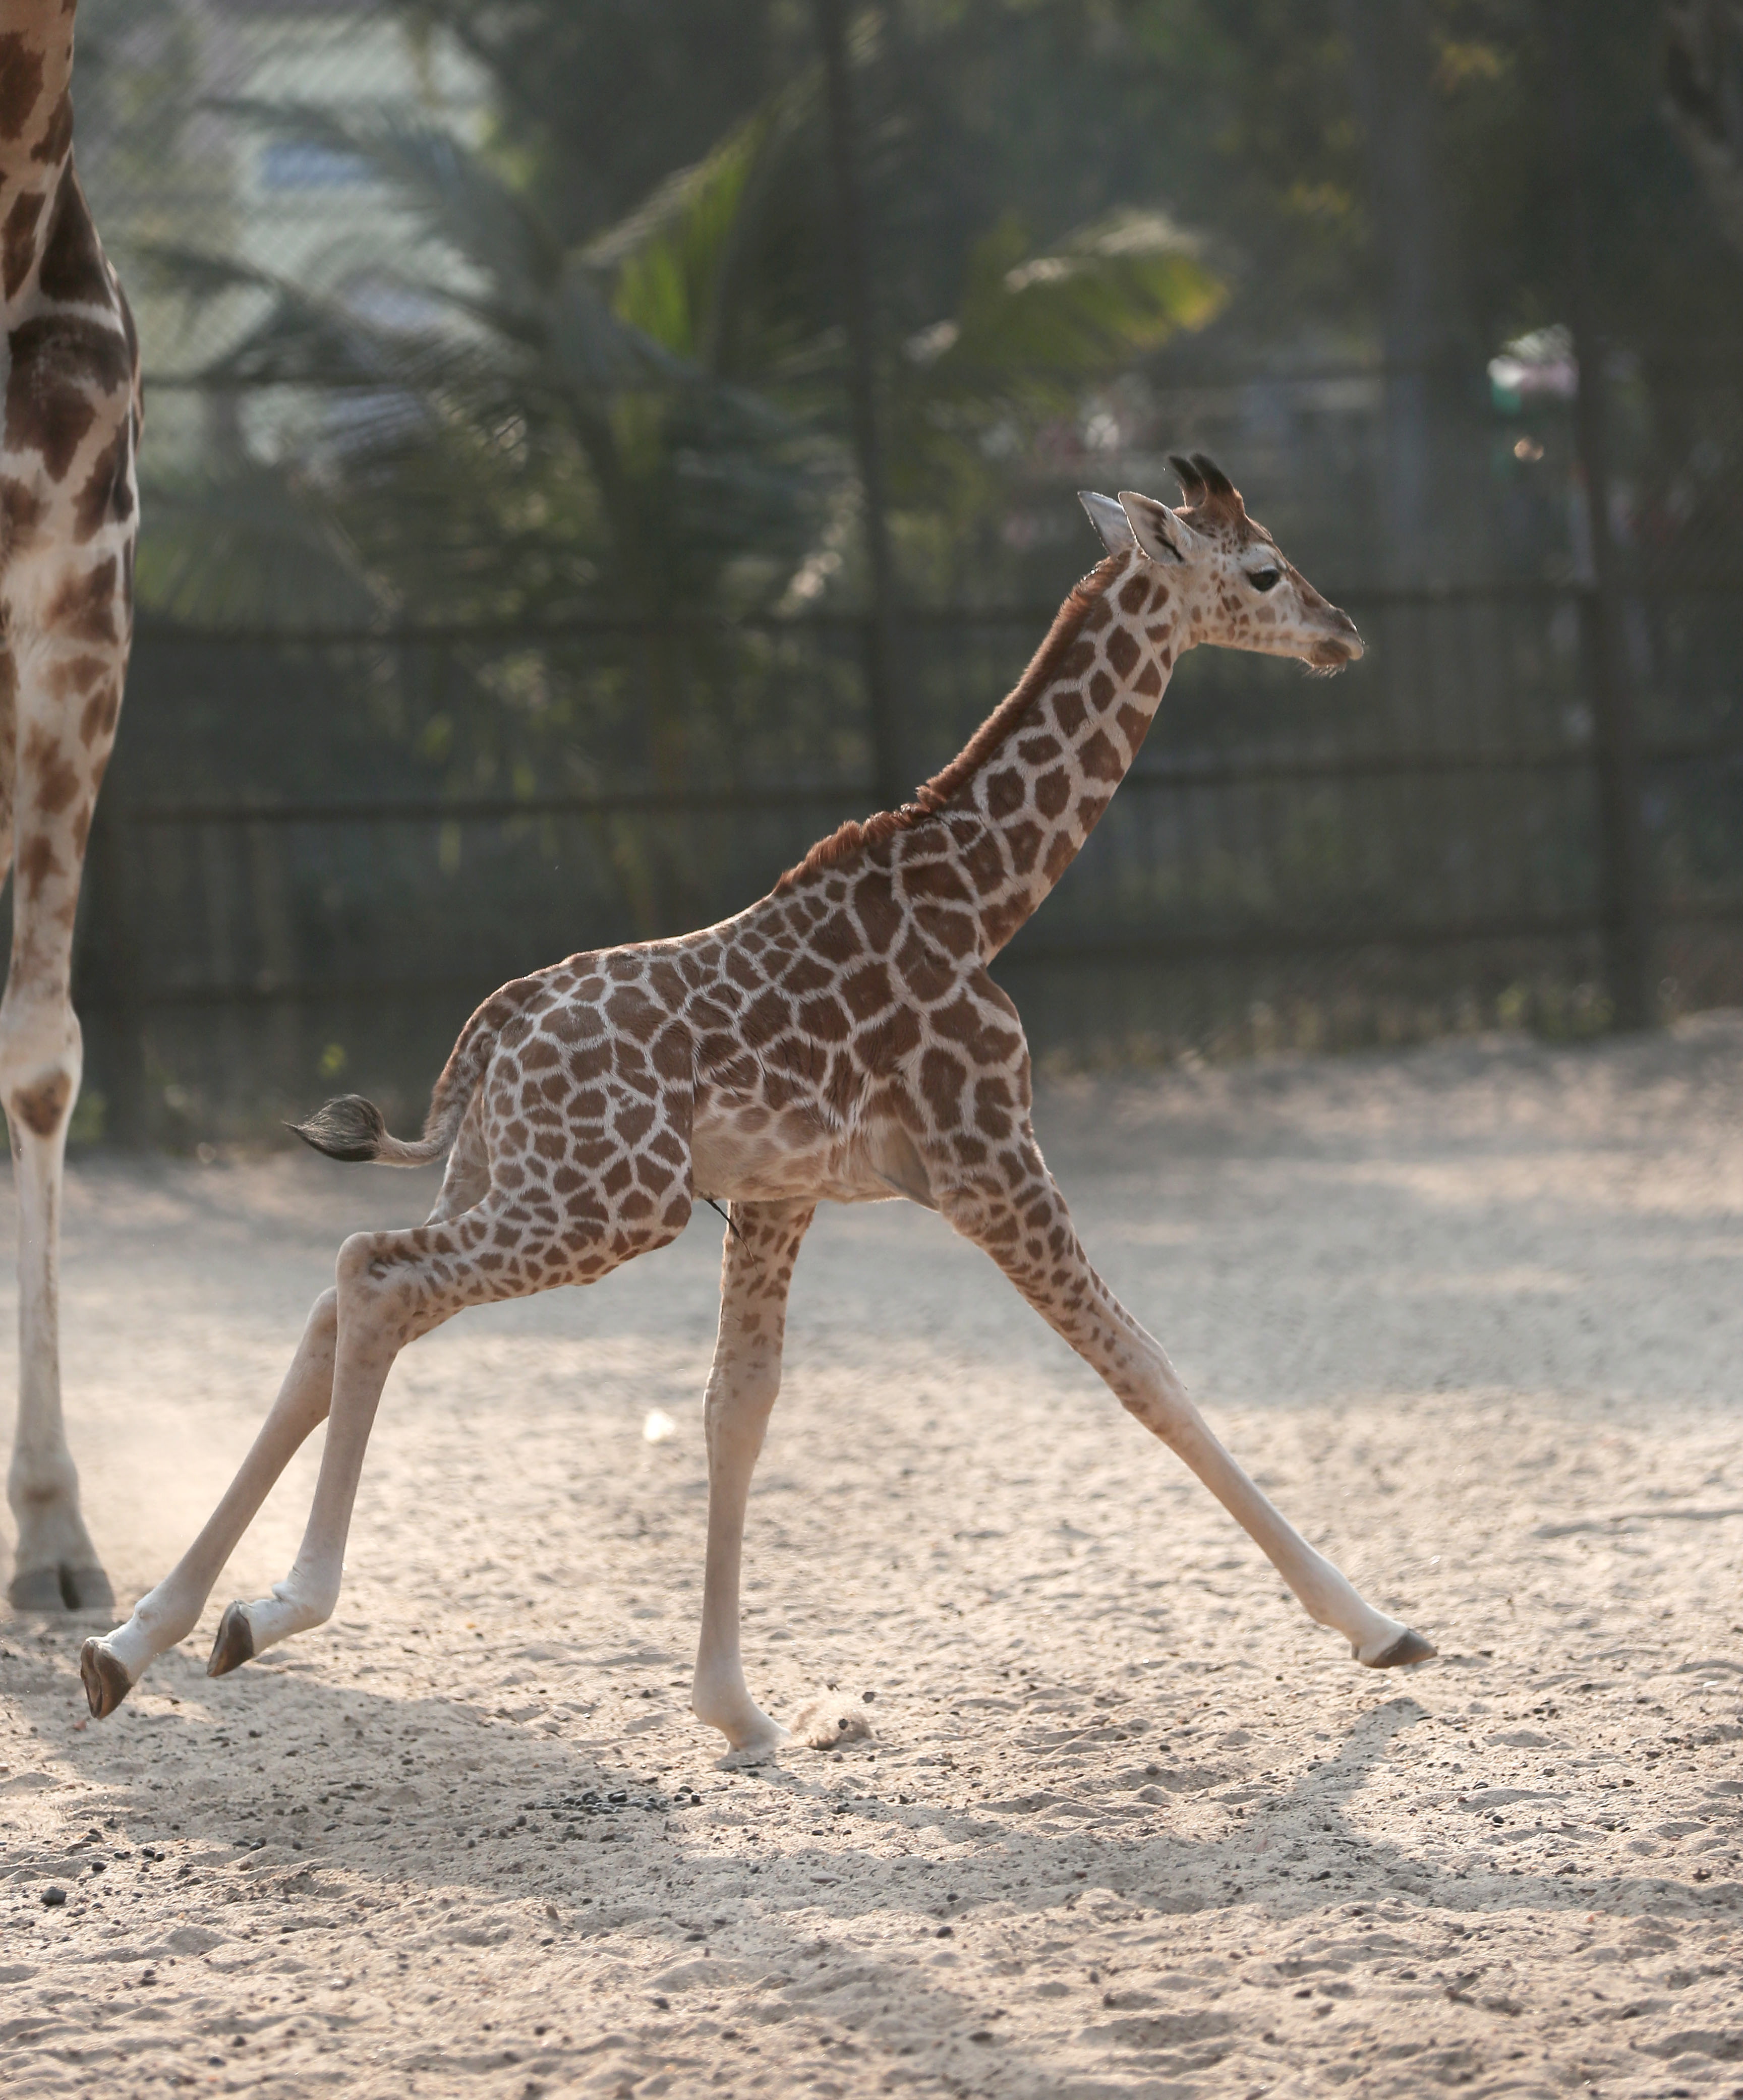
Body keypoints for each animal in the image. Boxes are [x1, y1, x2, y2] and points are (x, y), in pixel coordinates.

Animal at [82, 468, 1436, 1747]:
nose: (1343, 633)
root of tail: (499, 1024)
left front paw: (734, 1709)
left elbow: (736, 1408)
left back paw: (134, 1640)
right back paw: (276, 1605)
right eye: (1262, 570)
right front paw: (1379, 1626)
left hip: (517, 1183)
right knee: (375, 1277)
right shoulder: (990, 1157)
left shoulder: (782, 1196)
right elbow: (1145, 1368)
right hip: (608, 1204)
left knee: (339, 1294)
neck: (982, 898)